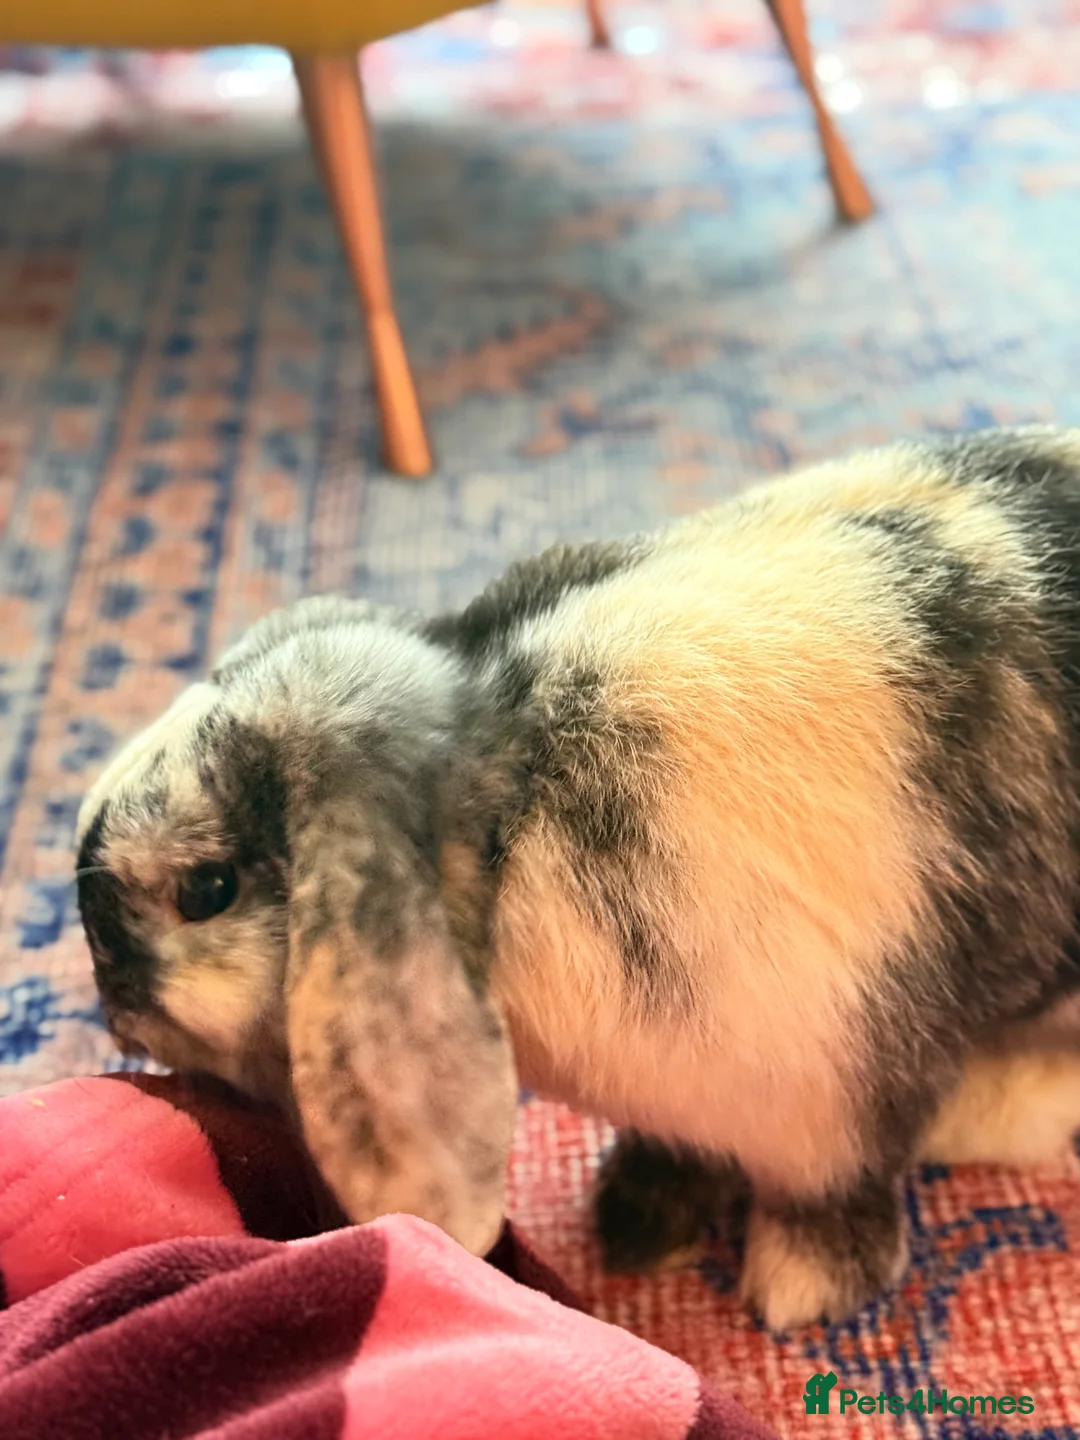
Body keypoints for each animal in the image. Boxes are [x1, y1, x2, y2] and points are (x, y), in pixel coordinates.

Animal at [76, 425, 1080, 1332]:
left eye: (206, 891)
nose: (113, 1009)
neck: (507, 805)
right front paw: (636, 1222)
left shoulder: (835, 1095)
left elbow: (834, 1187)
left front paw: (802, 1288)